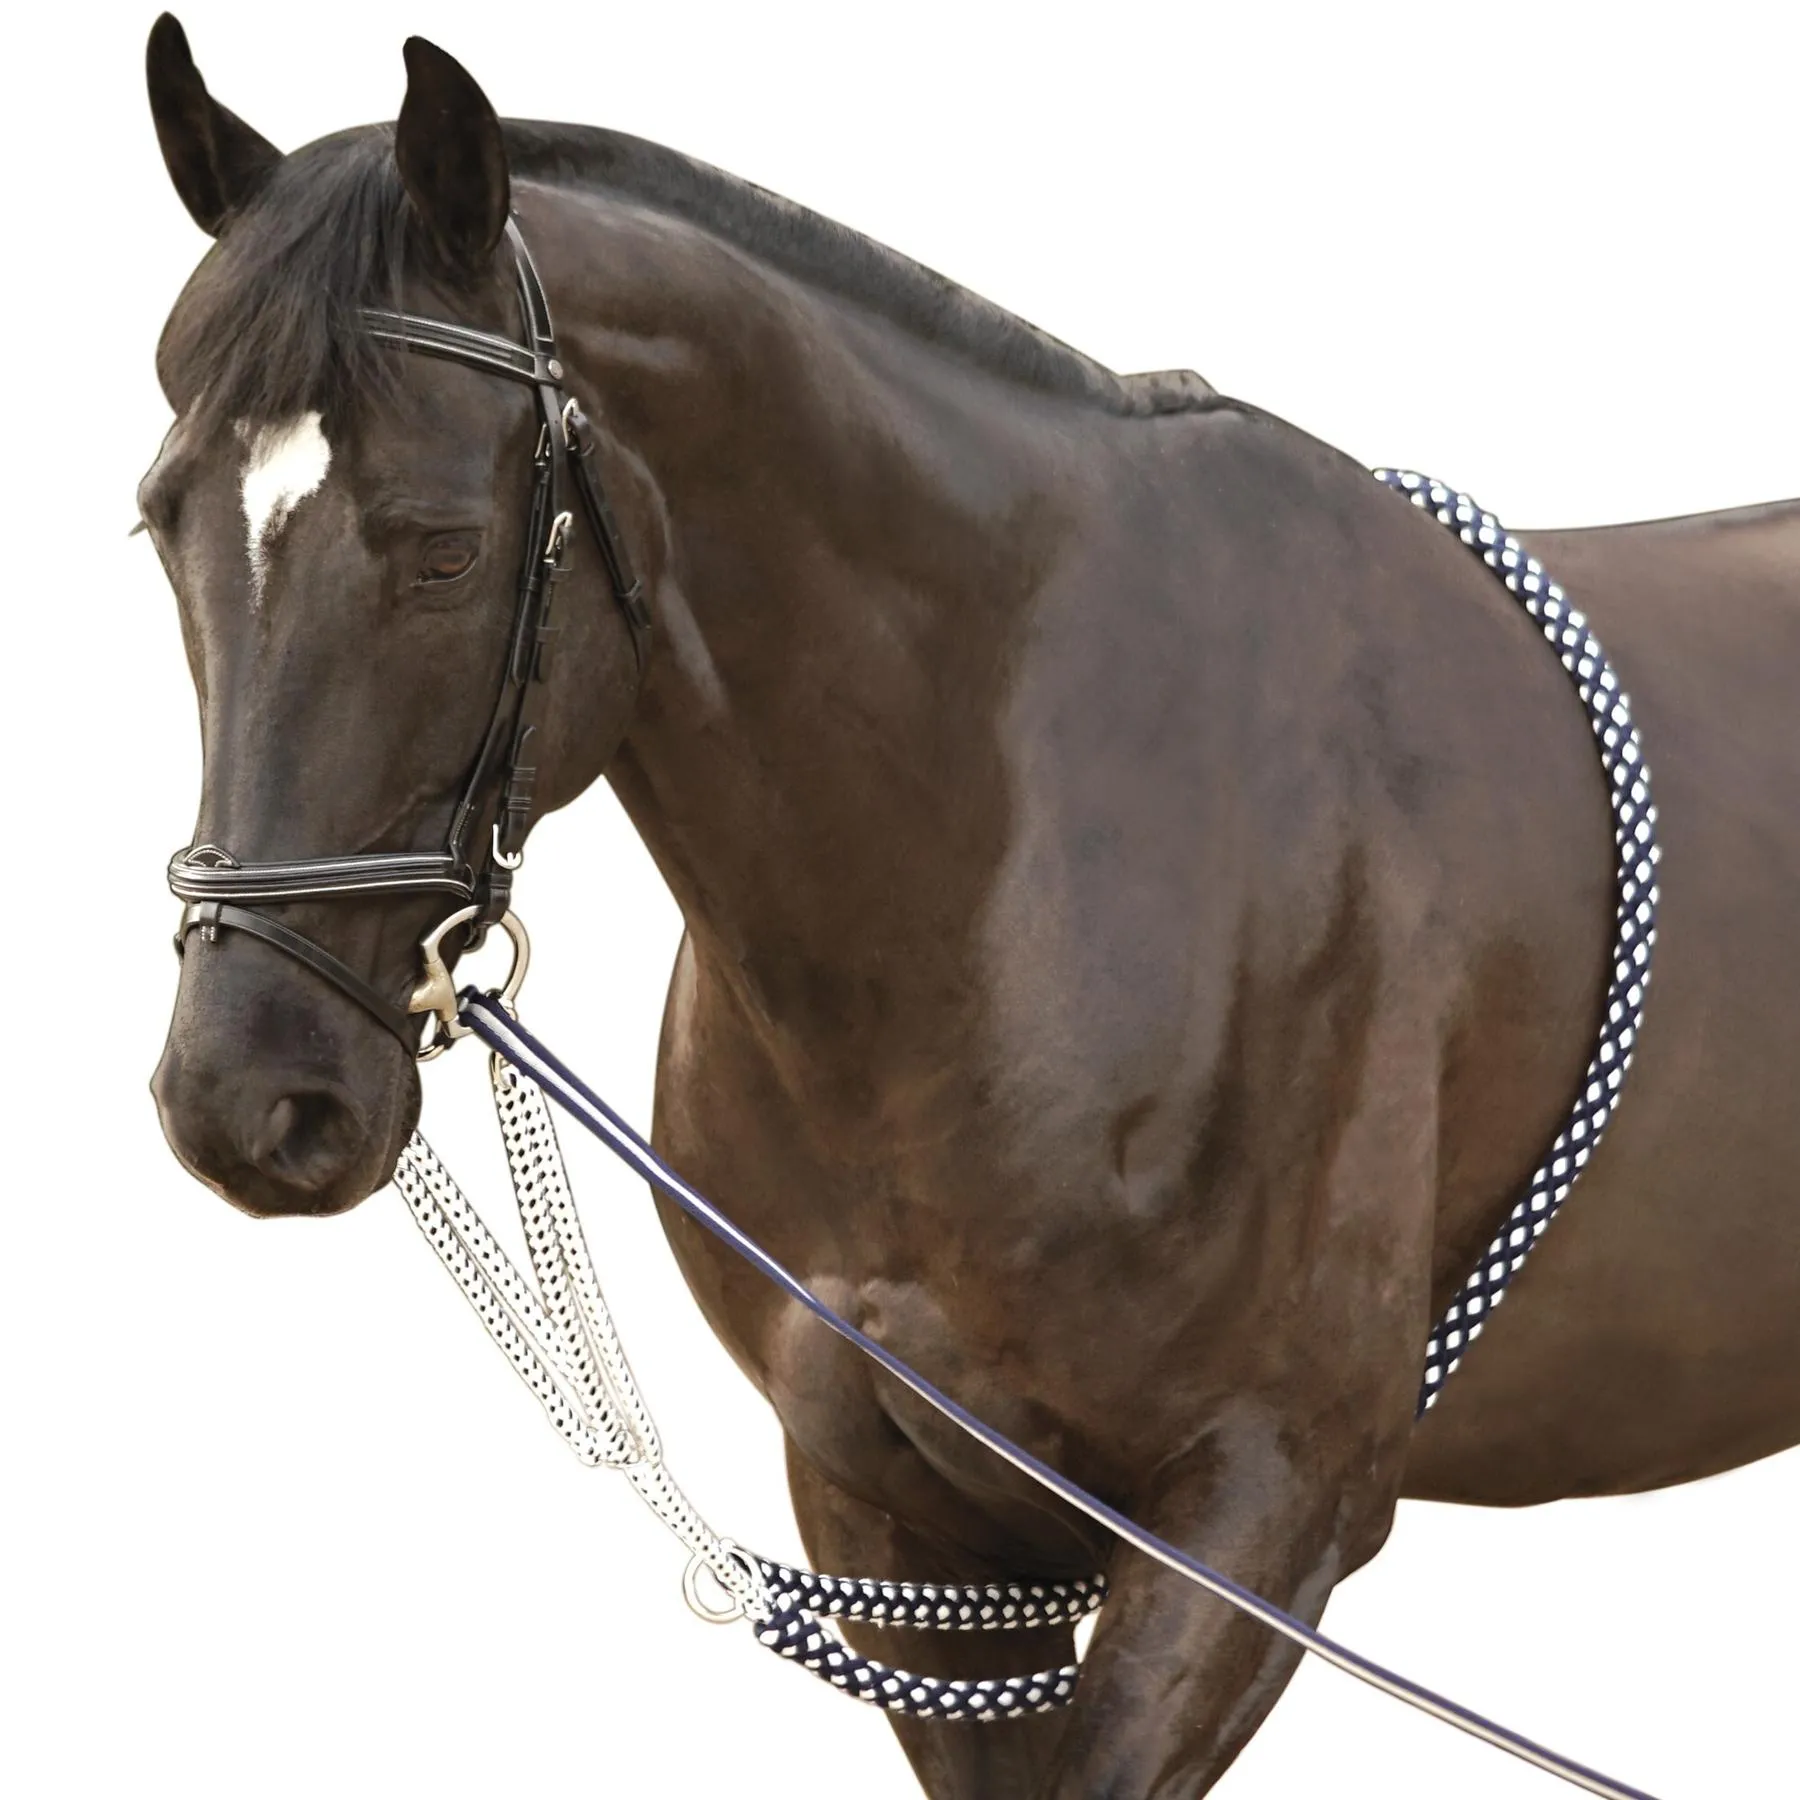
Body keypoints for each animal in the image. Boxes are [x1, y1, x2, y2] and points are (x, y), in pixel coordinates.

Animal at [140, 16, 1800, 1796]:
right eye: (162, 522)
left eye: (445, 551)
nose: (247, 1094)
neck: (1037, 866)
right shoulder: (889, 1506)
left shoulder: (1258, 1511)